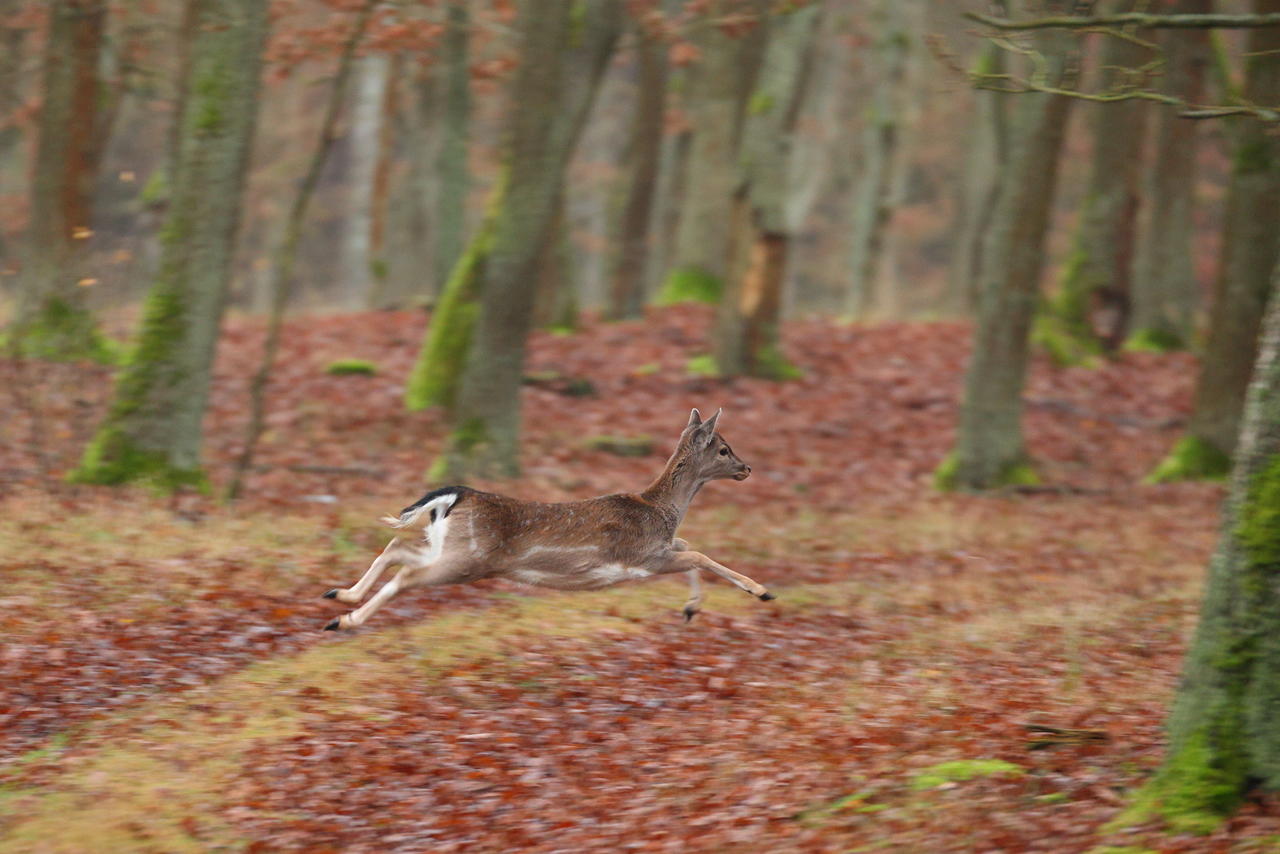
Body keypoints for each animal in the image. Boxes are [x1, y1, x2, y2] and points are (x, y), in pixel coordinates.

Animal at [325, 409, 773, 632]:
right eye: (723, 448)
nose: (748, 468)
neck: (660, 511)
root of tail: (455, 496)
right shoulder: (642, 558)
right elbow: (697, 554)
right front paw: (761, 591)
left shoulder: (659, 552)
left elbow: (690, 547)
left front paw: (691, 610)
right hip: (468, 560)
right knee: (406, 574)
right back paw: (344, 620)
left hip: (447, 549)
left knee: (397, 546)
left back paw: (340, 596)